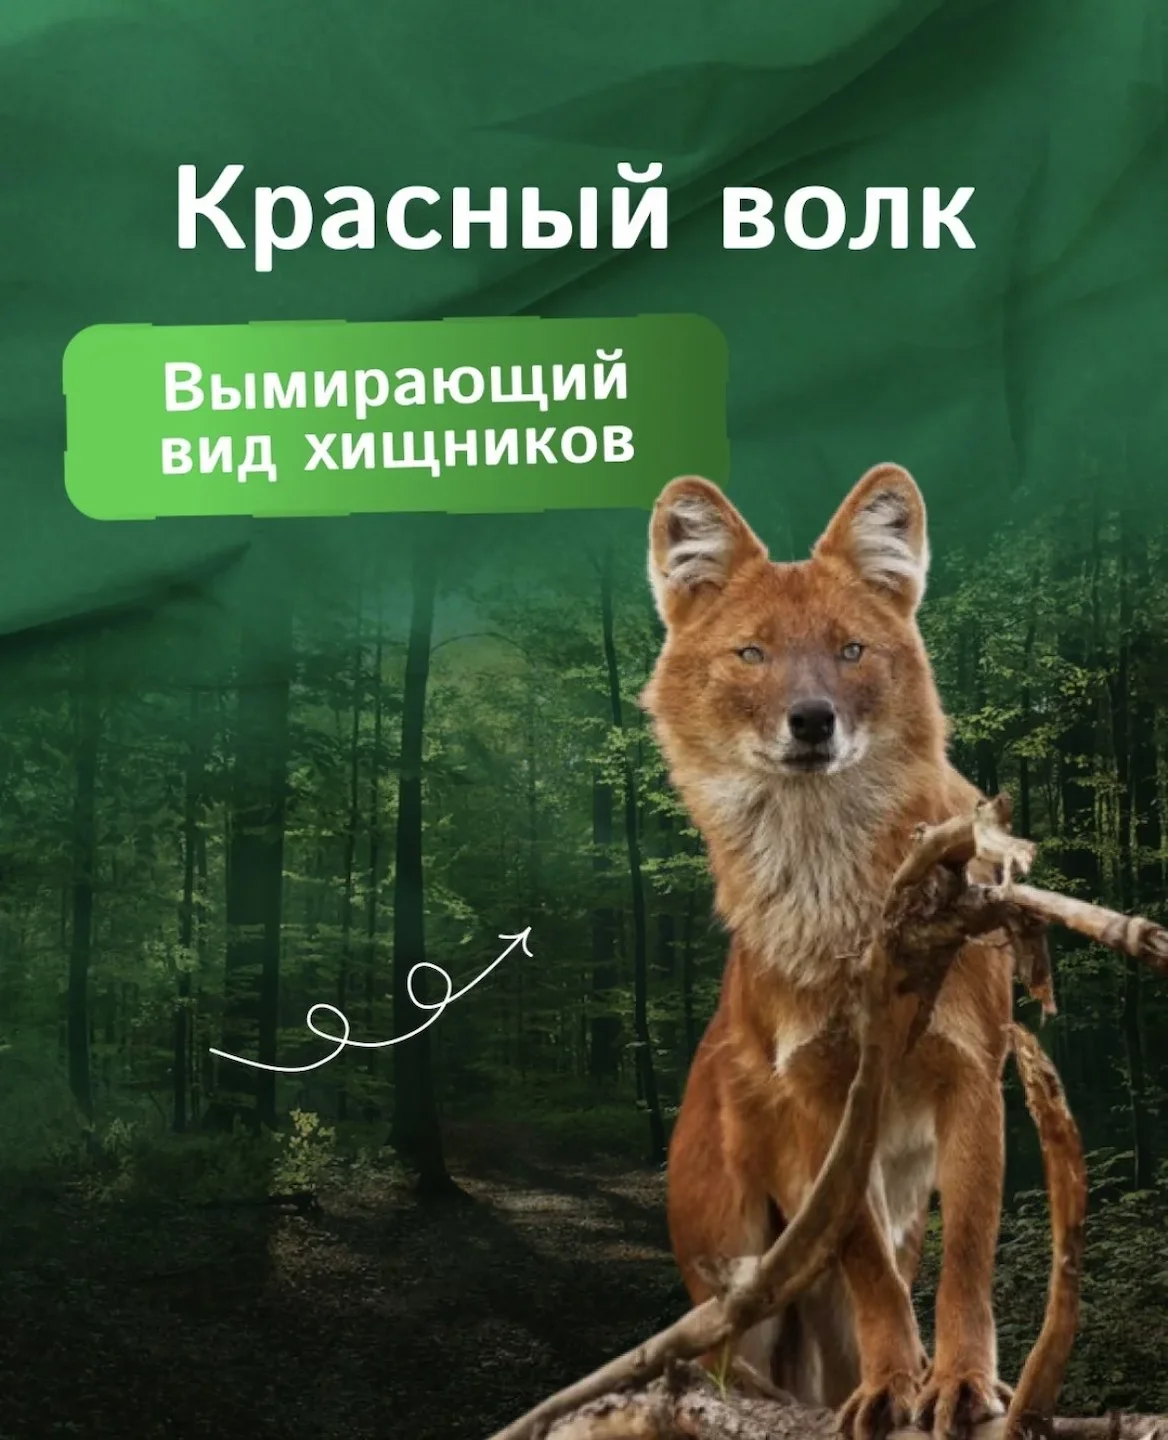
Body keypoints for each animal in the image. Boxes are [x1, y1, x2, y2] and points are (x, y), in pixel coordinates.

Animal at [640, 465, 1012, 1440]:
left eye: (850, 650)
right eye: (751, 654)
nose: (812, 721)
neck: (839, 903)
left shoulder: (972, 1072)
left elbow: (967, 1255)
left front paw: (959, 1381)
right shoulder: (816, 1094)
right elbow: (868, 1268)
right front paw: (892, 1386)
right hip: (737, 1269)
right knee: (734, 1360)